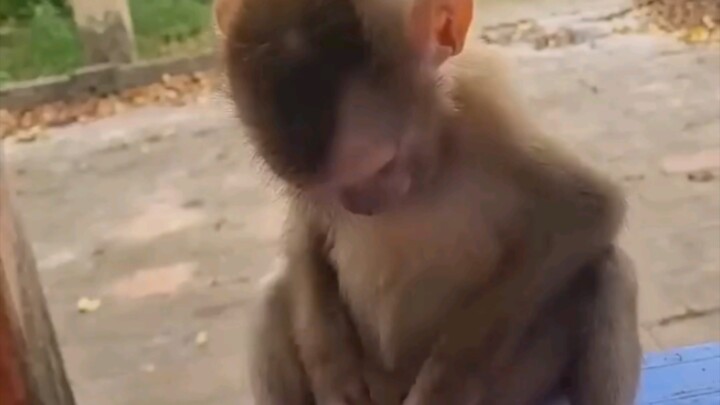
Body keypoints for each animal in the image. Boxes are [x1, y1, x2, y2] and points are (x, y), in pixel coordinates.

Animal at [213, 0, 642, 403]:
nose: (359, 206)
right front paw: (331, 369)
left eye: (382, 166)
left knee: (605, 269)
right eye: (317, 191)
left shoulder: (487, 110)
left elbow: (586, 208)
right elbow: (308, 233)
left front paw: (446, 383)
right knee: (273, 291)